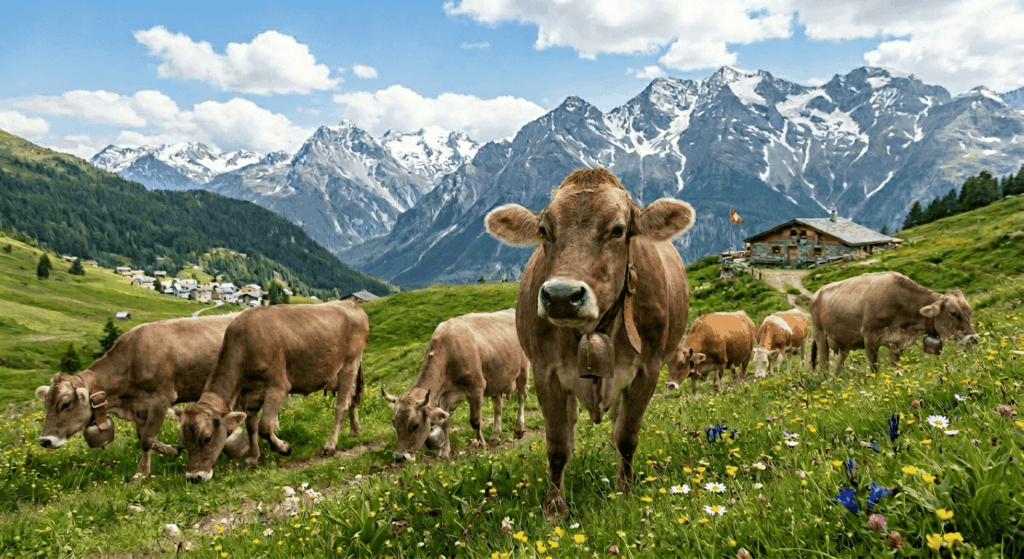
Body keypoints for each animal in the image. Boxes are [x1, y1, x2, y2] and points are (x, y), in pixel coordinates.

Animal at [34, 314, 248, 480]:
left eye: (65, 404)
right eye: (46, 405)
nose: (45, 440)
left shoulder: (162, 399)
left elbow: (146, 438)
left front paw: (141, 474)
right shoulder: (139, 408)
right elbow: (144, 437)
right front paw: (173, 449)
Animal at [174, 300, 368, 483]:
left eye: (206, 438)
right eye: (183, 440)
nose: (194, 477)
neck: (245, 345)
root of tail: (349, 304)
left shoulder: (278, 387)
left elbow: (265, 427)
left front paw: (284, 448)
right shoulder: (249, 397)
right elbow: (251, 427)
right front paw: (253, 458)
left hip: (350, 364)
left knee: (341, 406)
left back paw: (330, 445)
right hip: (338, 374)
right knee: (352, 397)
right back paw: (355, 430)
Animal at [382, 309, 529, 462]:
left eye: (415, 425)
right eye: (394, 422)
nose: (399, 457)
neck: (447, 352)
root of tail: (511, 311)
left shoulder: (476, 389)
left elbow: (475, 421)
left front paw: (481, 446)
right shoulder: (445, 397)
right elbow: (445, 423)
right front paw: (445, 451)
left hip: (523, 369)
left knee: (522, 397)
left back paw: (519, 429)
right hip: (497, 379)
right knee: (498, 406)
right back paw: (495, 435)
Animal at [485, 167, 693, 521]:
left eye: (618, 230)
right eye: (544, 230)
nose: (561, 296)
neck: (593, 329)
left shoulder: (647, 370)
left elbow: (626, 436)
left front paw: (626, 489)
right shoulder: (545, 372)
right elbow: (558, 445)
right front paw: (554, 507)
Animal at [810, 271, 980, 375]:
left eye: (970, 312)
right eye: (953, 313)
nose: (974, 339)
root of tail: (817, 293)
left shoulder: (897, 344)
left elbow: (893, 368)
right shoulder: (869, 337)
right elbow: (874, 368)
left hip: (844, 343)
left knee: (839, 364)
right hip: (820, 334)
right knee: (824, 365)